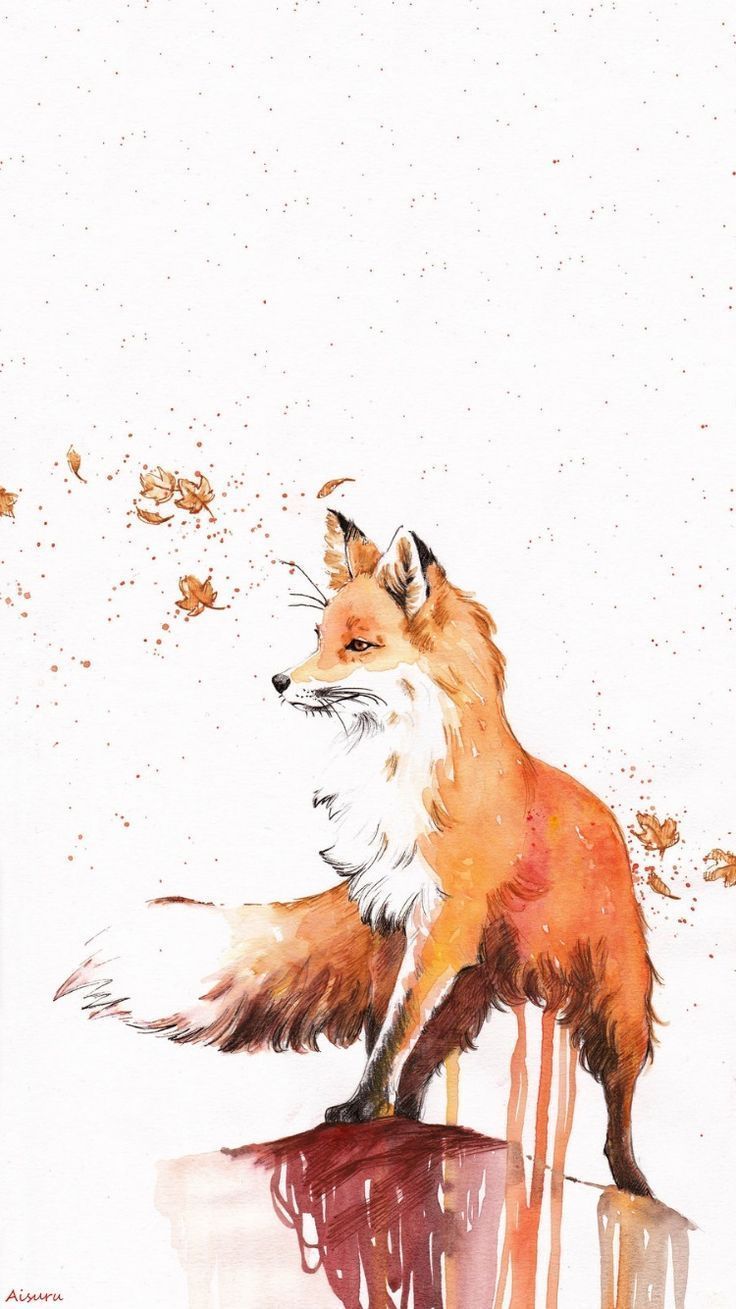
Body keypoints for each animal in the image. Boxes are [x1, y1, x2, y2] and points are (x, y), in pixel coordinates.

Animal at [56, 510, 657, 1196]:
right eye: (317, 635)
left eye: (359, 646)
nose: (279, 681)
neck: (394, 771)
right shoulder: (388, 922)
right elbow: (385, 1036)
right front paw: (369, 1110)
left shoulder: (439, 928)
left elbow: (392, 1036)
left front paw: (363, 1107)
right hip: (466, 996)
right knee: (423, 1071)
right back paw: (417, 1129)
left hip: (614, 1000)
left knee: (618, 1100)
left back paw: (634, 1183)